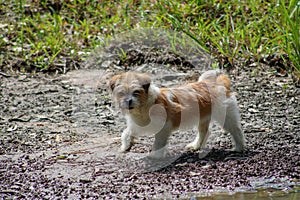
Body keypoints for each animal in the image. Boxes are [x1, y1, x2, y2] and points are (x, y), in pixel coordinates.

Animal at [109, 70, 245, 158]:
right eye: (121, 93)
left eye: (136, 92)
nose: (128, 101)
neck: (145, 105)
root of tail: (218, 84)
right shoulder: (139, 124)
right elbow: (126, 133)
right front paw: (125, 146)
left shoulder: (163, 128)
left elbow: (159, 142)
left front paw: (155, 155)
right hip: (203, 119)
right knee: (204, 132)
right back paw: (196, 146)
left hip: (226, 117)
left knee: (236, 130)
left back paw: (239, 148)